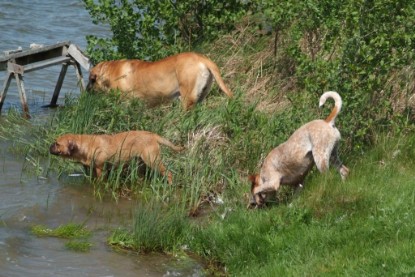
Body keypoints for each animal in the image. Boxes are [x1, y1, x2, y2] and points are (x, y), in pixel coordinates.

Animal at [50, 130, 184, 182]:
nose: (50, 146)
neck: (85, 145)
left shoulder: (101, 169)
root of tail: (153, 135)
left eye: (57, 143)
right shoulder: (91, 168)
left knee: (168, 173)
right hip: (141, 162)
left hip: (153, 160)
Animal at [85, 51, 232, 109]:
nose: (86, 91)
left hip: (186, 98)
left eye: (90, 80)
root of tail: (202, 58)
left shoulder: (126, 102)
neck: (109, 72)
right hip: (200, 95)